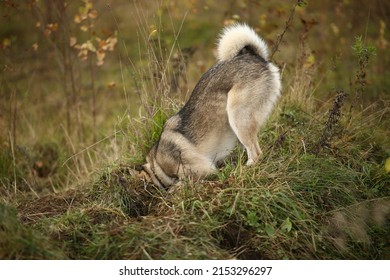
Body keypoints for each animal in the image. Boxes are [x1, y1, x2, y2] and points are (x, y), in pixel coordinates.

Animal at [142, 23, 282, 188]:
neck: (157, 163)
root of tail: (254, 56)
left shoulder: (202, 169)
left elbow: (182, 182)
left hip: (238, 118)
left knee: (256, 154)